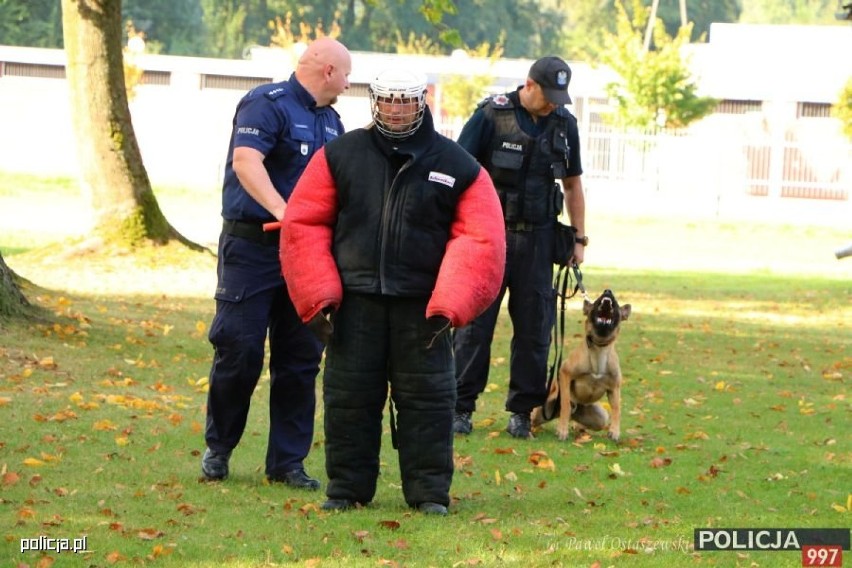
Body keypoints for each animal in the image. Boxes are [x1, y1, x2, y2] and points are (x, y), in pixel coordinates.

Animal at [536, 290, 628, 442]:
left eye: (615, 302)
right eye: (596, 301)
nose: (608, 291)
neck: (599, 348)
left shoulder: (614, 388)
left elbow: (617, 409)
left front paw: (614, 431)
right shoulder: (565, 373)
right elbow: (565, 404)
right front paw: (562, 430)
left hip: (599, 417)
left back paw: (577, 427)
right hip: (544, 409)